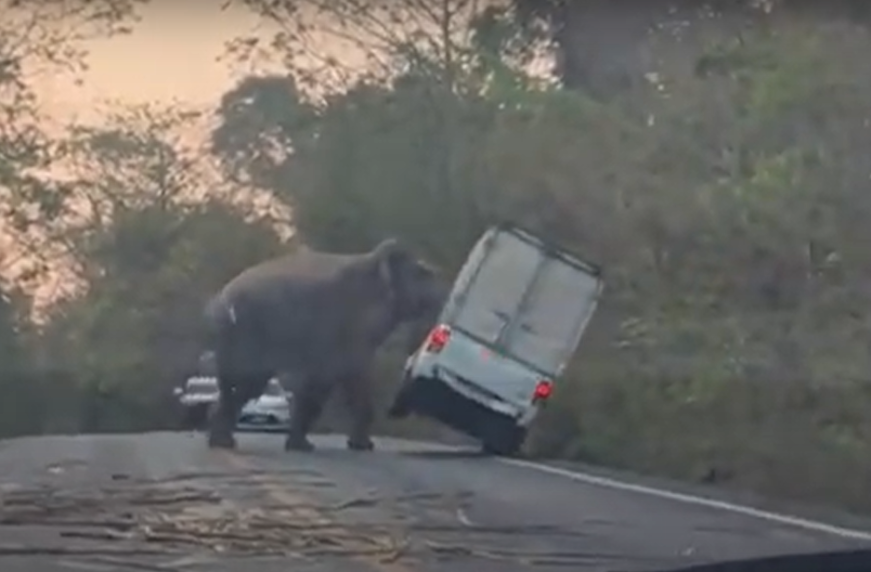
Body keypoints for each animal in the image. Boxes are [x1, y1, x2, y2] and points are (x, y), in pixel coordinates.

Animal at [202, 238, 446, 452]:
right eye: (424, 273)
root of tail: (220, 300)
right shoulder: (343, 326)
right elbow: (341, 378)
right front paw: (359, 446)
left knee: (238, 387)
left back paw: (221, 441)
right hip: (249, 333)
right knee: (248, 385)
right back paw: (222, 442)